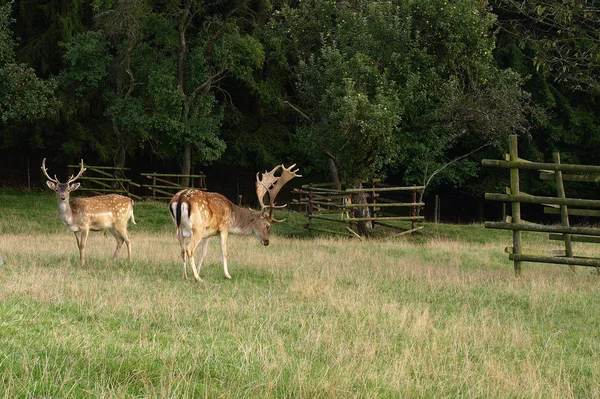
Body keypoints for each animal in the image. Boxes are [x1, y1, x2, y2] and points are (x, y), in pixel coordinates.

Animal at [168, 162, 300, 282]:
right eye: (267, 226)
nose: (267, 242)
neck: (233, 217)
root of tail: (180, 199)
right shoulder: (224, 228)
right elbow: (224, 252)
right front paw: (227, 275)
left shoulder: (208, 233)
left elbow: (203, 253)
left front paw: (198, 271)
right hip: (197, 228)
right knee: (189, 249)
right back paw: (197, 278)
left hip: (178, 228)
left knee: (182, 250)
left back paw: (185, 276)